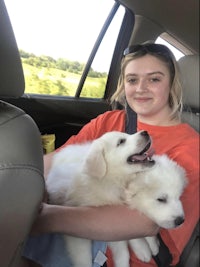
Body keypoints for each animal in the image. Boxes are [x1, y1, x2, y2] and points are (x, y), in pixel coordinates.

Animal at [45, 132, 186, 267]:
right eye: (121, 141)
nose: (145, 133)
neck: (109, 180)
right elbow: (84, 257)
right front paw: (143, 249)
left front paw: (148, 246)